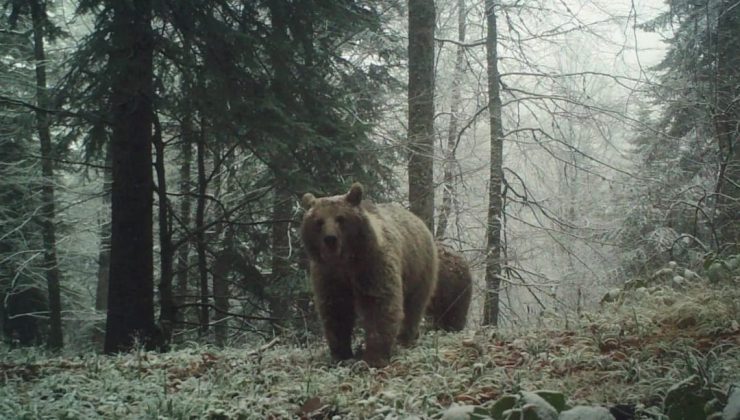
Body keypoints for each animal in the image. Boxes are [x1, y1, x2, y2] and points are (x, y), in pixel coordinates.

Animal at [302, 182, 440, 366]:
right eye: (319, 222)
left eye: (340, 218)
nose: (330, 239)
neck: (345, 262)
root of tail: (418, 220)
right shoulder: (329, 274)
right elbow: (337, 309)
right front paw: (341, 354)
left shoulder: (372, 266)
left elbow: (379, 305)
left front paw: (373, 357)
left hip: (419, 268)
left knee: (414, 306)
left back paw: (405, 339)